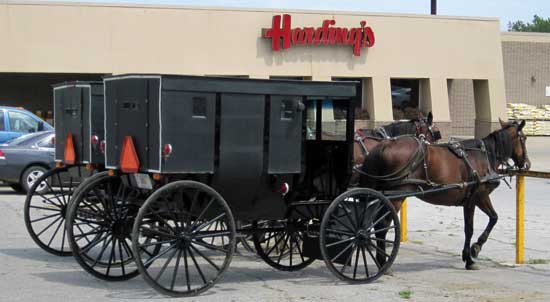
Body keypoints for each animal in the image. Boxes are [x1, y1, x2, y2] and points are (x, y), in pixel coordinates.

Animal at [360, 118, 532, 268]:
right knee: (382, 224)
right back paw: (382, 260)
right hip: (396, 196)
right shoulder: (475, 197)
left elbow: (493, 217)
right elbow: (470, 228)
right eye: (523, 138)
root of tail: (386, 144)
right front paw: (470, 256)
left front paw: (474, 249)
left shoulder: (478, 198)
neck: (483, 155)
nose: (527, 164)